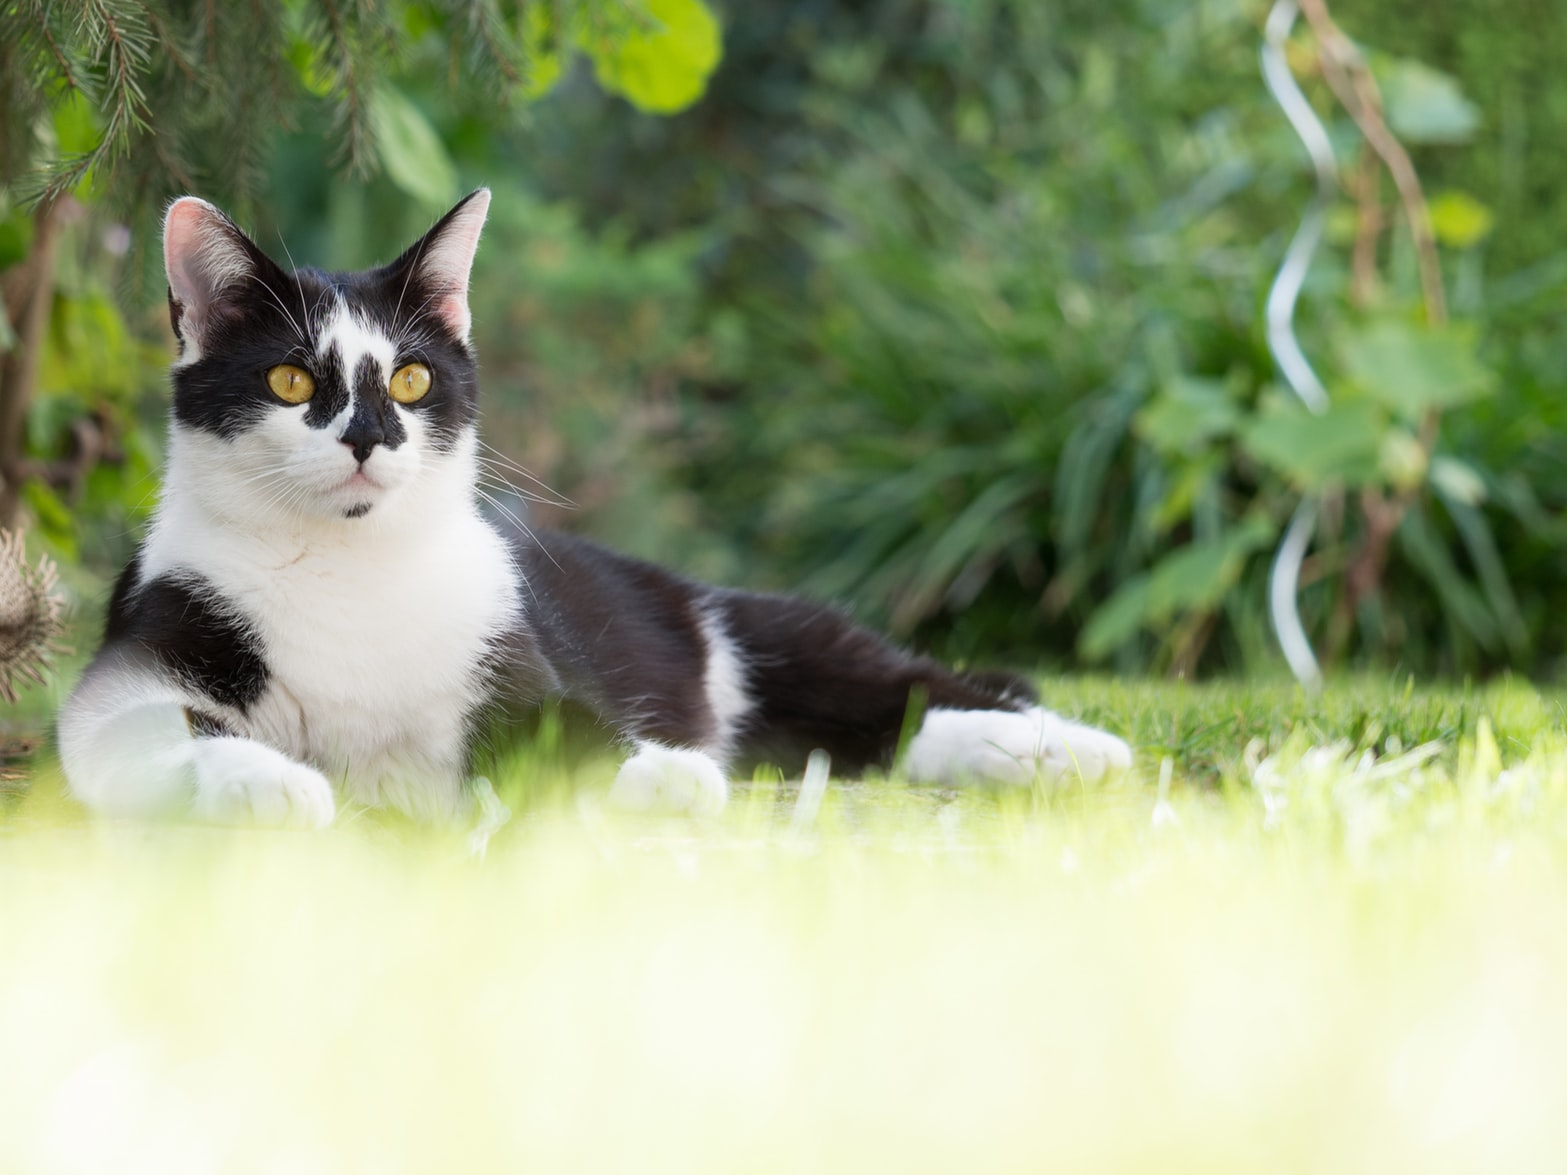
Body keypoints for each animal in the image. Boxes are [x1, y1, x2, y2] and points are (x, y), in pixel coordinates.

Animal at [55, 193, 1134, 827]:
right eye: (289, 378)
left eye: (409, 378)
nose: (368, 437)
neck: (352, 567)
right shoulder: (132, 663)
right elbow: (147, 731)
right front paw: (265, 779)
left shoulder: (518, 665)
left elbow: (570, 726)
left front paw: (661, 776)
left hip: (771, 635)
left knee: (911, 688)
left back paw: (1063, 745)